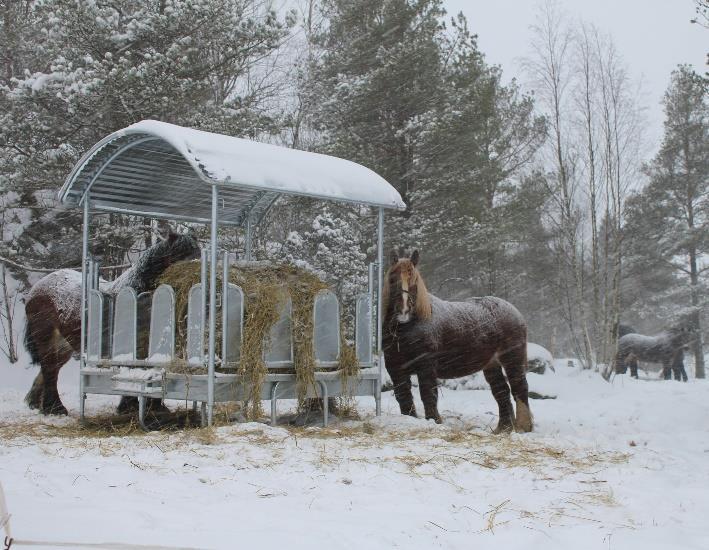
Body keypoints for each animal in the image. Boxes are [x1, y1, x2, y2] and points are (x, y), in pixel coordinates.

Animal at [22, 231, 199, 416]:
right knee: (49, 370)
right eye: (180, 255)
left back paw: (37, 404)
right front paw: (129, 406)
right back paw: (55, 408)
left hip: (64, 346)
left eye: (199, 252)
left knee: (49, 370)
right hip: (47, 339)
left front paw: (156, 407)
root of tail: (36, 288)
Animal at [382, 251, 532, 436]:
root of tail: (515, 312)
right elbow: (403, 397)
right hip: (492, 365)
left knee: (520, 388)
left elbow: (428, 394)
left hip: (512, 360)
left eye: (414, 280)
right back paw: (503, 428)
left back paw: (523, 427)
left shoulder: (426, 367)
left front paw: (434, 421)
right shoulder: (395, 369)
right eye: (392, 278)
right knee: (501, 392)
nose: (403, 310)